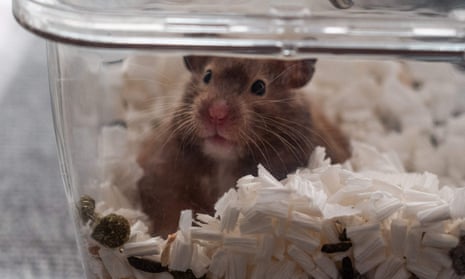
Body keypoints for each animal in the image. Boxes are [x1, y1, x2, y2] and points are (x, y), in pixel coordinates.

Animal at [136, 55, 350, 235]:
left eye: (259, 87)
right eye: (207, 76)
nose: (216, 114)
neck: (223, 160)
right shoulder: (163, 180)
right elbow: (172, 212)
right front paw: (170, 237)